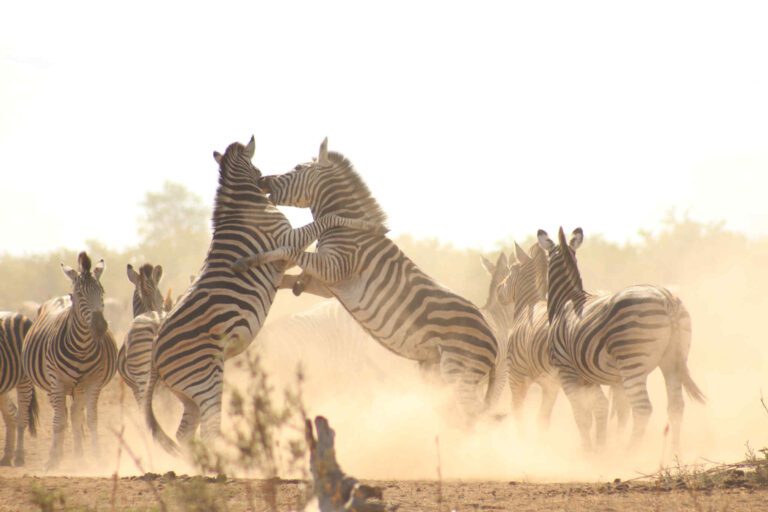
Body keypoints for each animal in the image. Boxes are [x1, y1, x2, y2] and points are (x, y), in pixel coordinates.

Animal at [21, 252, 118, 469]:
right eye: (79, 295)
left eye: (102, 291)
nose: (100, 327)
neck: (81, 347)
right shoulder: (57, 382)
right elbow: (59, 421)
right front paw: (53, 460)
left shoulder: (92, 382)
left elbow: (90, 419)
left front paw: (96, 457)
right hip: (52, 386)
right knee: (62, 414)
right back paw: (57, 454)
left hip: (77, 388)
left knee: (75, 415)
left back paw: (79, 456)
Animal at [144, 136, 387, 454]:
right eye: (258, 169)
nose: (264, 181)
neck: (243, 203)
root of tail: (155, 356)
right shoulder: (287, 238)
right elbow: (329, 220)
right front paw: (368, 225)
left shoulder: (286, 249)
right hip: (205, 379)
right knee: (209, 431)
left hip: (187, 392)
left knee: (185, 434)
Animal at [232, 138, 504, 421]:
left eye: (296, 168)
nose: (262, 180)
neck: (347, 229)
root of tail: (496, 342)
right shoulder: (328, 282)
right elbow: (288, 277)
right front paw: (281, 283)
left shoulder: (334, 268)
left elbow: (288, 250)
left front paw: (246, 262)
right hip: (437, 372)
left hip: (459, 372)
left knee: (473, 419)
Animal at [537, 227, 704, 453]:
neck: (567, 298)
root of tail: (666, 298)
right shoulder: (601, 377)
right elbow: (610, 410)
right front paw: (602, 447)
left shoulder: (567, 370)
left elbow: (582, 414)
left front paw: (589, 450)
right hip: (672, 360)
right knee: (676, 406)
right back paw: (673, 453)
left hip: (632, 360)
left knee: (643, 408)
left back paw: (630, 452)